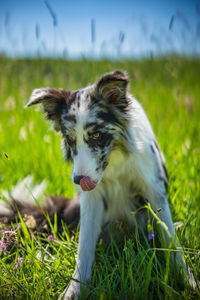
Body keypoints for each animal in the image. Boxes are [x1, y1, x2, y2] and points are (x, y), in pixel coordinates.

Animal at [0, 69, 188, 298]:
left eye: (97, 135)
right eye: (70, 139)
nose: (78, 180)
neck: (115, 162)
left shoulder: (154, 190)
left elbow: (171, 239)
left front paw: (186, 281)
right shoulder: (91, 200)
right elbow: (85, 248)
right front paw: (74, 290)